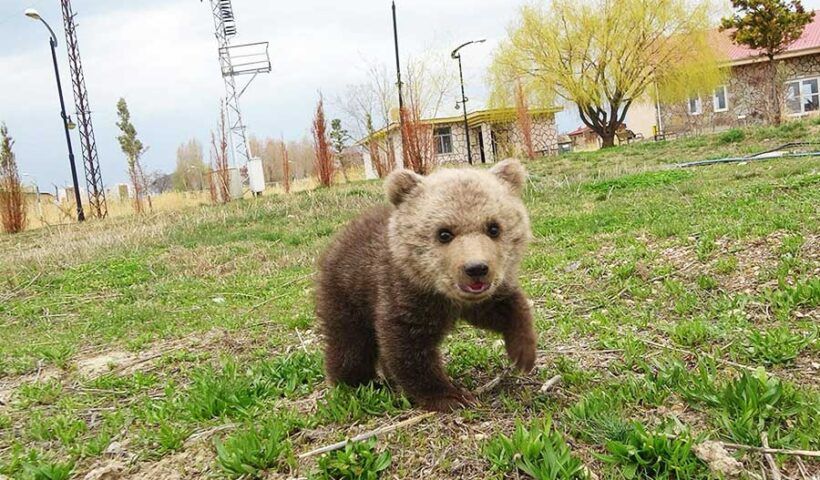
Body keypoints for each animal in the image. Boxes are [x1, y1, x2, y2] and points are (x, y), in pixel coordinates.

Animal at [315, 159, 536, 412]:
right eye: (444, 233)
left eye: (493, 228)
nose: (476, 268)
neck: (441, 292)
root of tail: (339, 237)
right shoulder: (403, 292)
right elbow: (408, 348)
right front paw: (450, 396)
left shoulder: (479, 298)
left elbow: (505, 308)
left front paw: (524, 353)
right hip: (347, 291)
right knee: (350, 343)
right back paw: (354, 383)